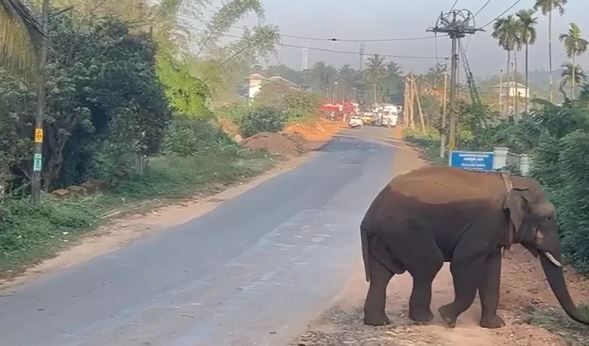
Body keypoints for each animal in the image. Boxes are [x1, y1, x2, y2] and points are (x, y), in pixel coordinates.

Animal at [358, 166, 588, 328]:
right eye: (549, 218)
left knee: (382, 274)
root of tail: (368, 218)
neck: (512, 182)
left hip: (386, 238)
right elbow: (463, 264)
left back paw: (379, 322)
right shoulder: (484, 225)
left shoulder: (495, 233)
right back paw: (424, 319)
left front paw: (495, 326)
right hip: (406, 231)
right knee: (429, 264)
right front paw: (447, 318)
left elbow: (492, 271)